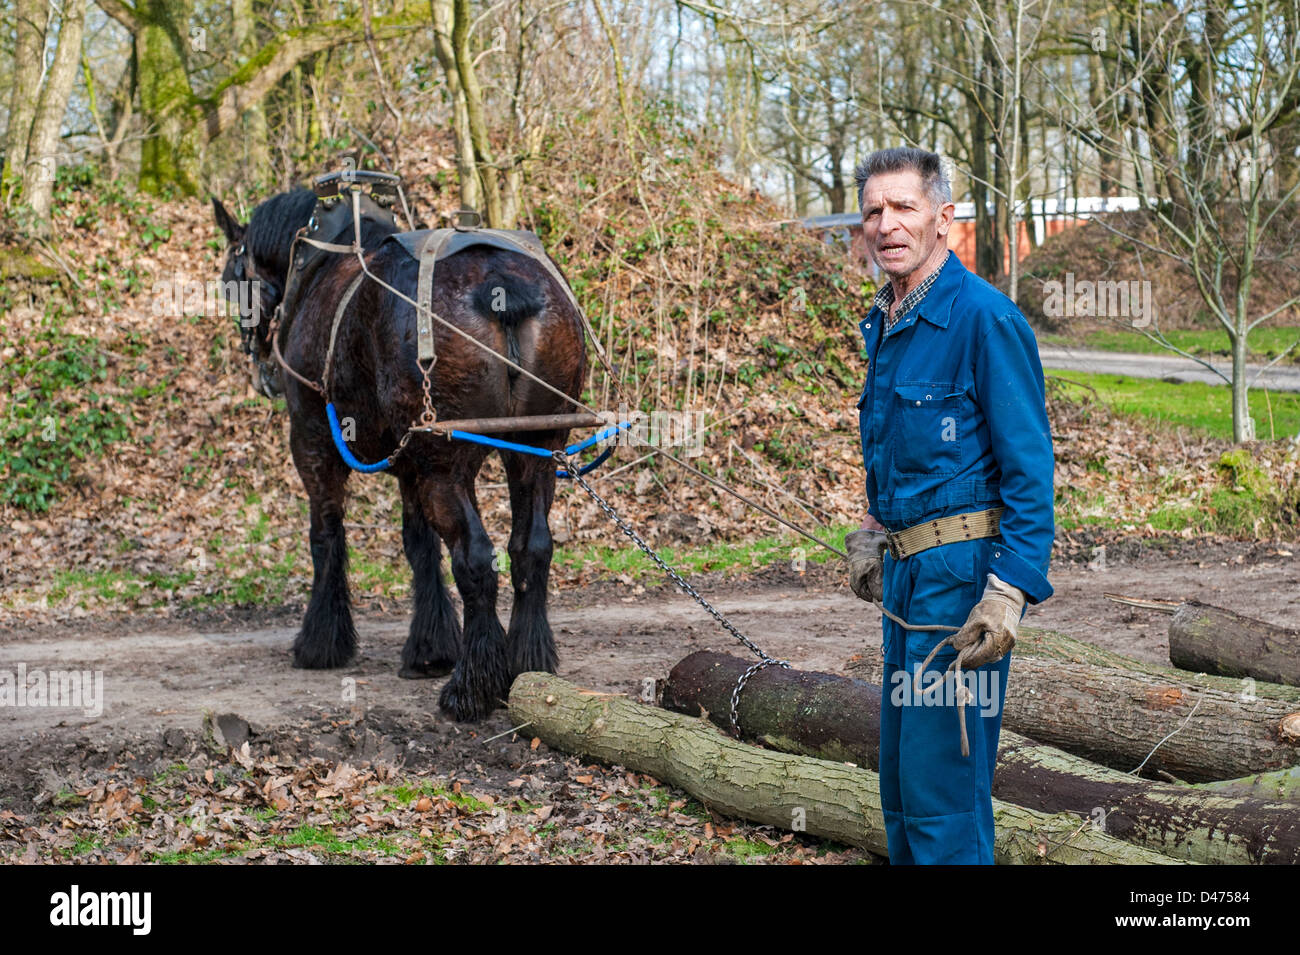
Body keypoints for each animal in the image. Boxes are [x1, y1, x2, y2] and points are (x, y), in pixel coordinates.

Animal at [211, 186, 588, 721]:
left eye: (230, 282)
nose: (258, 364)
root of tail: (500, 285)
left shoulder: (312, 441)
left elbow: (326, 536)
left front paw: (321, 642)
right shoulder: (408, 462)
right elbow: (419, 545)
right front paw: (430, 647)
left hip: (444, 463)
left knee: (475, 558)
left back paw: (470, 687)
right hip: (535, 448)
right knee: (531, 547)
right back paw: (527, 661)